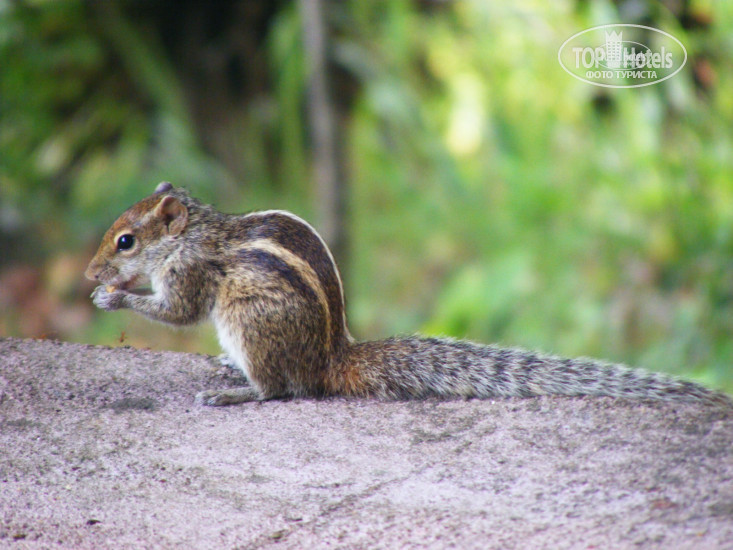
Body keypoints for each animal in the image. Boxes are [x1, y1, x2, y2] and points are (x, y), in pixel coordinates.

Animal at [85, 182, 732, 407]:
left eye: (125, 240)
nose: (90, 274)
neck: (194, 232)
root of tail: (330, 358)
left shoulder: (192, 272)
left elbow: (177, 311)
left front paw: (116, 297)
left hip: (249, 321)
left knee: (280, 390)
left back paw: (238, 391)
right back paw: (228, 372)